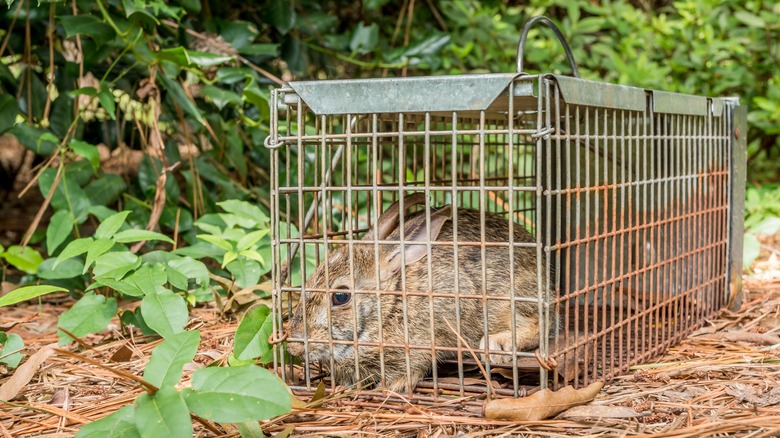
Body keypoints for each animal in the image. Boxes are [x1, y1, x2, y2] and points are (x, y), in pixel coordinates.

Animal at [284, 193, 552, 392]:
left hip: (506, 302)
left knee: (542, 325)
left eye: (340, 297)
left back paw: (497, 344)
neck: (390, 306)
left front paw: (396, 385)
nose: (294, 346)